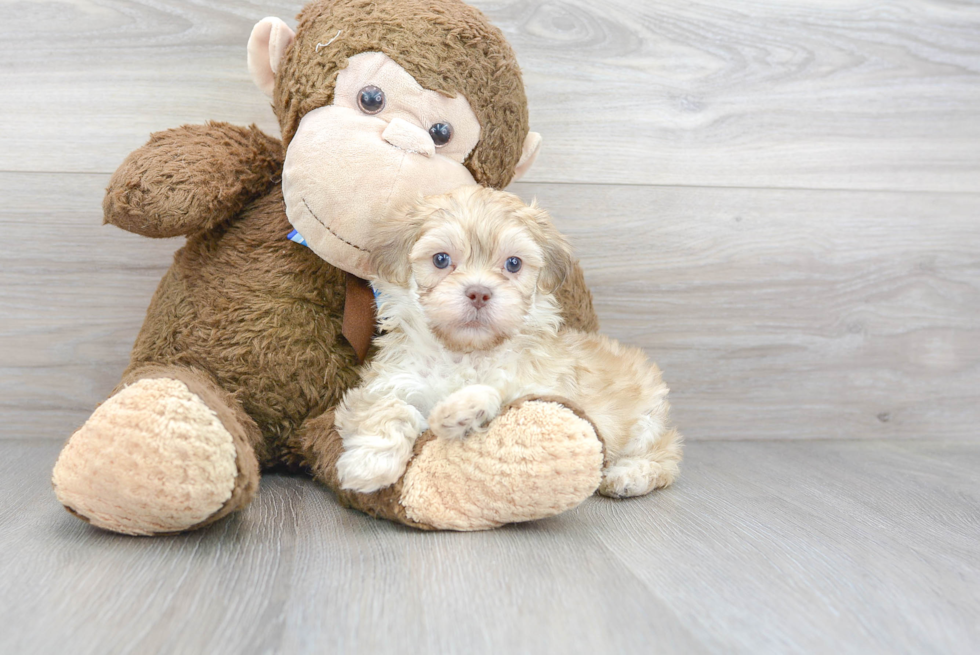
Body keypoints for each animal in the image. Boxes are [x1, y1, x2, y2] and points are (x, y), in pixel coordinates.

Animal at [336, 184, 680, 498]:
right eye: (441, 259)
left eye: (513, 263)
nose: (479, 292)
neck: (465, 353)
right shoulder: (386, 383)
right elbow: (390, 409)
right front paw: (370, 464)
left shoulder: (545, 393)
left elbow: (500, 395)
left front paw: (462, 410)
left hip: (646, 424)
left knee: (668, 453)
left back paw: (629, 475)